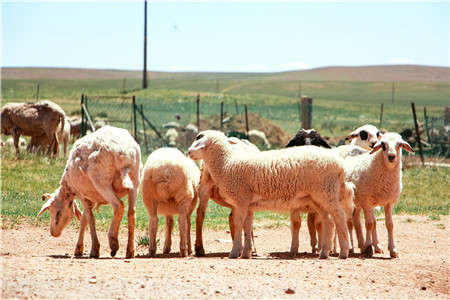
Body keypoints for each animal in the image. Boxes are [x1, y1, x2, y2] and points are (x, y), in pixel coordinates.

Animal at [38, 125, 142, 258]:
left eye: (55, 212)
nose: (53, 233)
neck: (68, 187)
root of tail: (125, 153)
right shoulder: (90, 197)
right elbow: (84, 219)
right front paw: (79, 248)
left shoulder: (82, 194)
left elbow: (90, 218)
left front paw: (94, 249)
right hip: (135, 181)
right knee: (132, 213)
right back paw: (130, 250)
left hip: (101, 182)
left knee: (119, 206)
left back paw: (113, 242)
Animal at [188, 130, 354, 258]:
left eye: (200, 140)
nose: (189, 152)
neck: (227, 164)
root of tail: (341, 166)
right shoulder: (248, 204)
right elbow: (247, 226)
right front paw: (246, 252)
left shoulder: (240, 200)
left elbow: (238, 224)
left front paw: (235, 252)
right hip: (319, 197)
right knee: (329, 220)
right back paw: (324, 253)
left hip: (326, 192)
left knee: (339, 217)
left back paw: (344, 251)